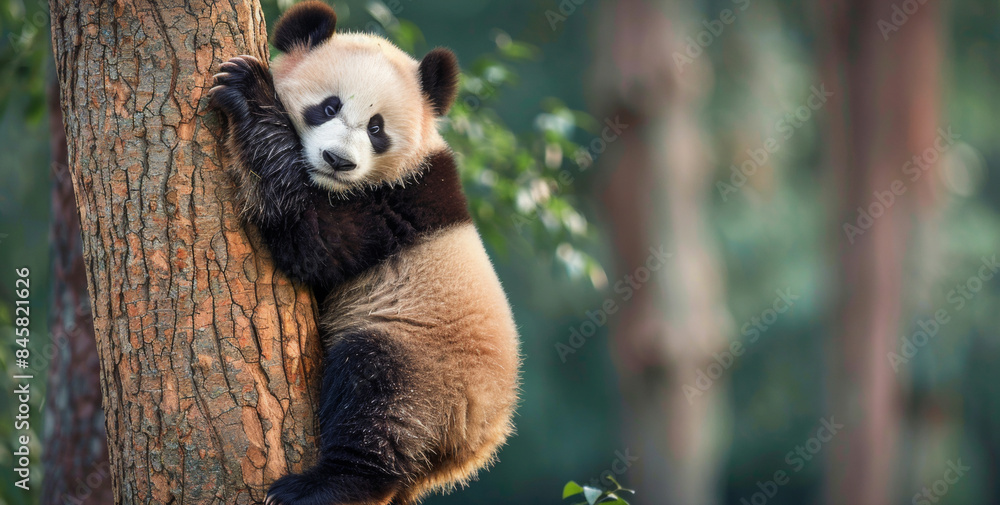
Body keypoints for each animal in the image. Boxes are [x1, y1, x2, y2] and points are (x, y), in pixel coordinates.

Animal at [209, 2, 521, 504]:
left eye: (377, 129)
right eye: (328, 106)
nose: (339, 161)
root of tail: (476, 440)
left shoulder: (395, 207)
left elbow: (312, 239)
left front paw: (247, 89)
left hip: (425, 363)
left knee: (375, 399)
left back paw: (320, 486)